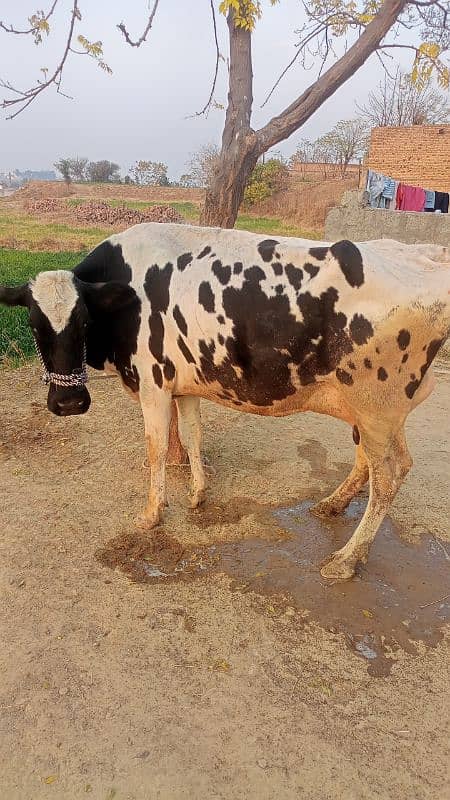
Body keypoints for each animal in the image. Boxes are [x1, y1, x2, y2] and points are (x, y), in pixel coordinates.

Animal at [0, 225, 450, 580]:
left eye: (85, 321)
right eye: (34, 324)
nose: (69, 402)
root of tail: (424, 253)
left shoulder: (153, 384)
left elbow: (156, 448)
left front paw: (152, 513)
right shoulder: (183, 384)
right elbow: (192, 435)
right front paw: (198, 494)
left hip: (376, 406)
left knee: (389, 474)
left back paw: (346, 559)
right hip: (376, 411)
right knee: (373, 462)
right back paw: (332, 505)